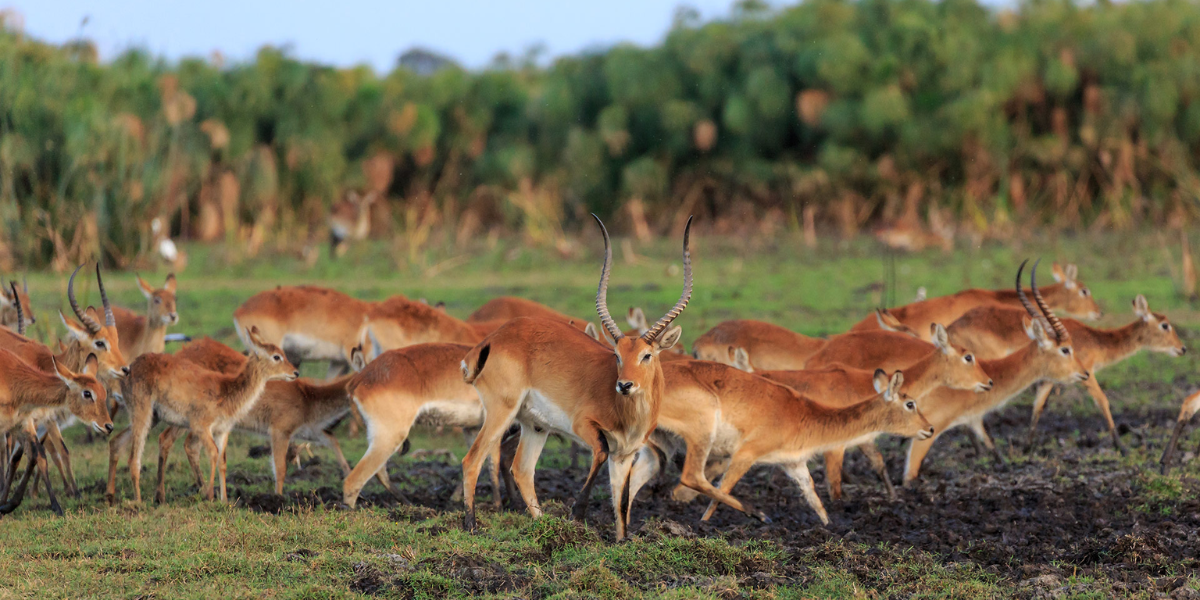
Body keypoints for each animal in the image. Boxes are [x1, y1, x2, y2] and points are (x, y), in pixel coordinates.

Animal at [456, 214, 696, 540]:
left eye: (646, 355)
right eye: (617, 355)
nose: (624, 384)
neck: (628, 413)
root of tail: (494, 338)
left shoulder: (626, 455)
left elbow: (621, 502)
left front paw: (621, 541)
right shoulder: (586, 427)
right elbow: (600, 453)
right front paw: (577, 515)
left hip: (535, 425)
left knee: (522, 469)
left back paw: (543, 524)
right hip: (502, 412)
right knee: (473, 459)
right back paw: (472, 526)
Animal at [633, 364, 931, 525]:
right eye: (910, 403)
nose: (929, 428)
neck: (803, 415)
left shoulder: (794, 463)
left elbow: (814, 498)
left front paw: (830, 528)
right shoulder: (746, 453)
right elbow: (721, 491)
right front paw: (702, 526)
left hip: (654, 445)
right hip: (700, 432)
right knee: (691, 476)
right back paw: (760, 515)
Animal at [897, 262, 1094, 482]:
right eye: (1065, 349)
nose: (1084, 372)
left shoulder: (973, 420)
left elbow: (993, 448)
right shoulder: (928, 432)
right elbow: (909, 476)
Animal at [945, 290, 1190, 451]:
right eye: (1165, 325)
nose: (1183, 348)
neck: (1095, 340)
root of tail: (951, 328)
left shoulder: (1049, 380)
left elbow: (1038, 406)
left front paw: (1027, 447)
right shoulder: (1086, 374)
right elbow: (1103, 401)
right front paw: (1121, 447)